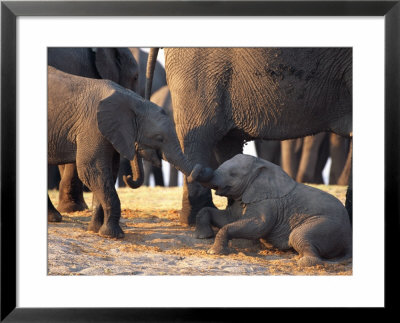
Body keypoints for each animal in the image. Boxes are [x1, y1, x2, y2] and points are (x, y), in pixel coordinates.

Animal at [47, 66, 212, 238]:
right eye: (159, 138)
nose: (128, 177)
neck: (133, 101)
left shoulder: (108, 131)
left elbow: (108, 172)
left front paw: (96, 230)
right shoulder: (92, 127)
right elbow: (92, 170)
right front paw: (112, 234)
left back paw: (54, 218)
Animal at [195, 154, 354, 268]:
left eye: (233, 174)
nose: (200, 168)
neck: (261, 166)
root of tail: (348, 239)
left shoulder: (267, 202)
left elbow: (259, 226)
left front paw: (213, 252)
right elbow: (227, 219)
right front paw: (203, 236)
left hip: (327, 225)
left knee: (297, 235)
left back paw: (303, 262)